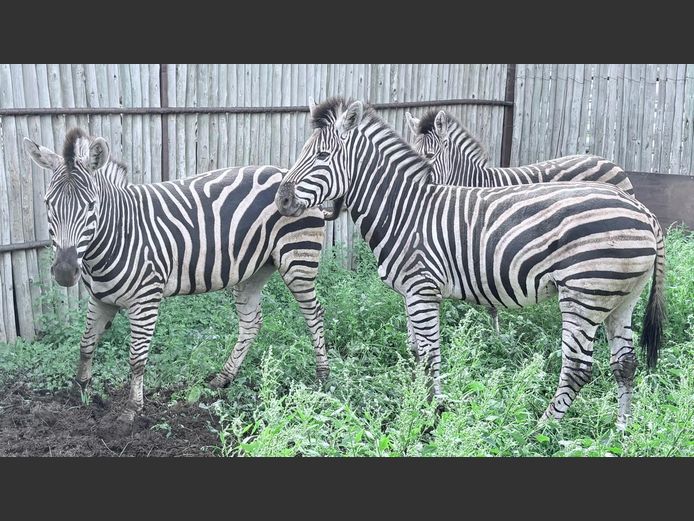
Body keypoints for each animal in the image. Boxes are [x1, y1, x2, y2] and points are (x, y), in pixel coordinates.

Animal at [24, 128, 329, 424]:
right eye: (48, 203)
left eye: (90, 206)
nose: (64, 272)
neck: (117, 234)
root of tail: (288, 173)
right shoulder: (100, 299)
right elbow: (85, 345)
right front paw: (80, 392)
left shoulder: (145, 300)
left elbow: (136, 358)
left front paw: (131, 411)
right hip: (253, 270)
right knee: (252, 322)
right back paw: (223, 378)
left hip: (298, 260)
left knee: (314, 314)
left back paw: (322, 377)